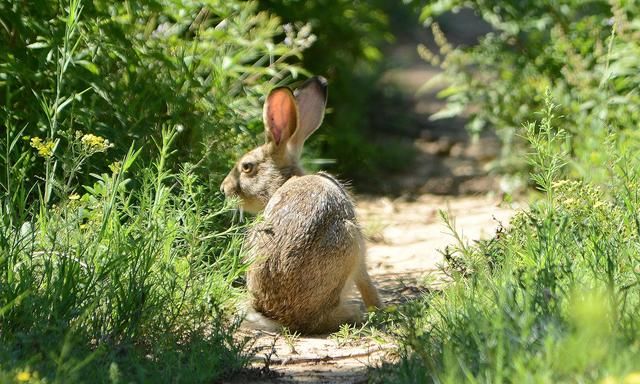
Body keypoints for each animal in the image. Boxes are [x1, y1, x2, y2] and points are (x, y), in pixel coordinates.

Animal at [220, 77, 380, 332]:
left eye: (246, 167)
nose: (223, 189)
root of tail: (282, 317)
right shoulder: (360, 252)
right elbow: (365, 280)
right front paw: (380, 308)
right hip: (350, 238)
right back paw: (356, 313)